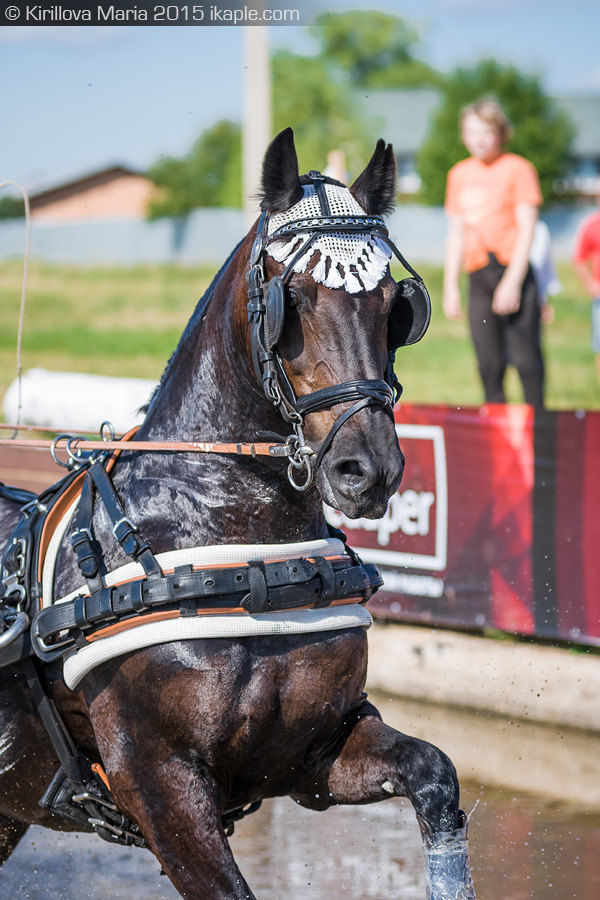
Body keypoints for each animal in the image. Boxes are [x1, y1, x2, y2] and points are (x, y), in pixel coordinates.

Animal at [0, 128, 476, 900]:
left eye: (393, 307)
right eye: (294, 298)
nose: (369, 469)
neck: (233, 548)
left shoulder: (315, 753)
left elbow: (434, 773)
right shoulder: (159, 782)